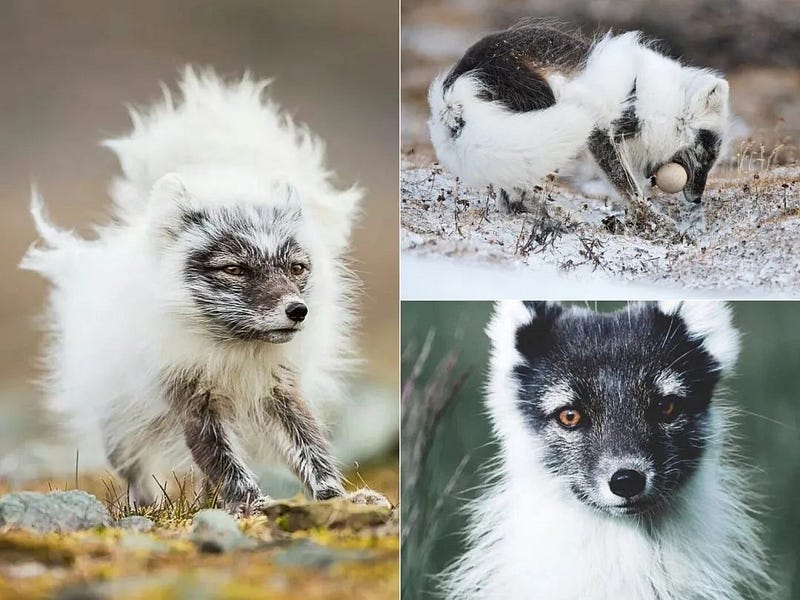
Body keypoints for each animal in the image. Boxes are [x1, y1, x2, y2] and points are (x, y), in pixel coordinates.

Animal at [20, 69, 390, 510]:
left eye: (297, 268)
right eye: (234, 269)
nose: (297, 310)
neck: (235, 354)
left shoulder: (280, 391)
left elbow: (312, 449)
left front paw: (336, 498)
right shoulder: (193, 401)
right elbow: (225, 463)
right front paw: (254, 506)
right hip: (122, 421)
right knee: (136, 467)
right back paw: (147, 505)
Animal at [432, 21, 732, 213]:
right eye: (708, 153)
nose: (697, 200)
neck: (649, 101)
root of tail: (455, 85)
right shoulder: (600, 132)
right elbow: (627, 185)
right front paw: (649, 217)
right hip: (542, 110)